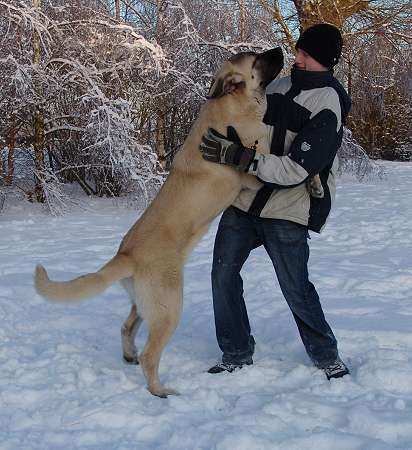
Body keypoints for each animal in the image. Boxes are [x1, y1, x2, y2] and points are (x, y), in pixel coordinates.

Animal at [34, 48, 284, 398]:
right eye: (257, 59)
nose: (280, 50)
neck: (230, 104)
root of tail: (125, 256)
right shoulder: (249, 174)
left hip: (143, 306)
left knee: (126, 328)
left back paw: (129, 355)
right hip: (169, 308)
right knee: (150, 355)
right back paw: (161, 390)